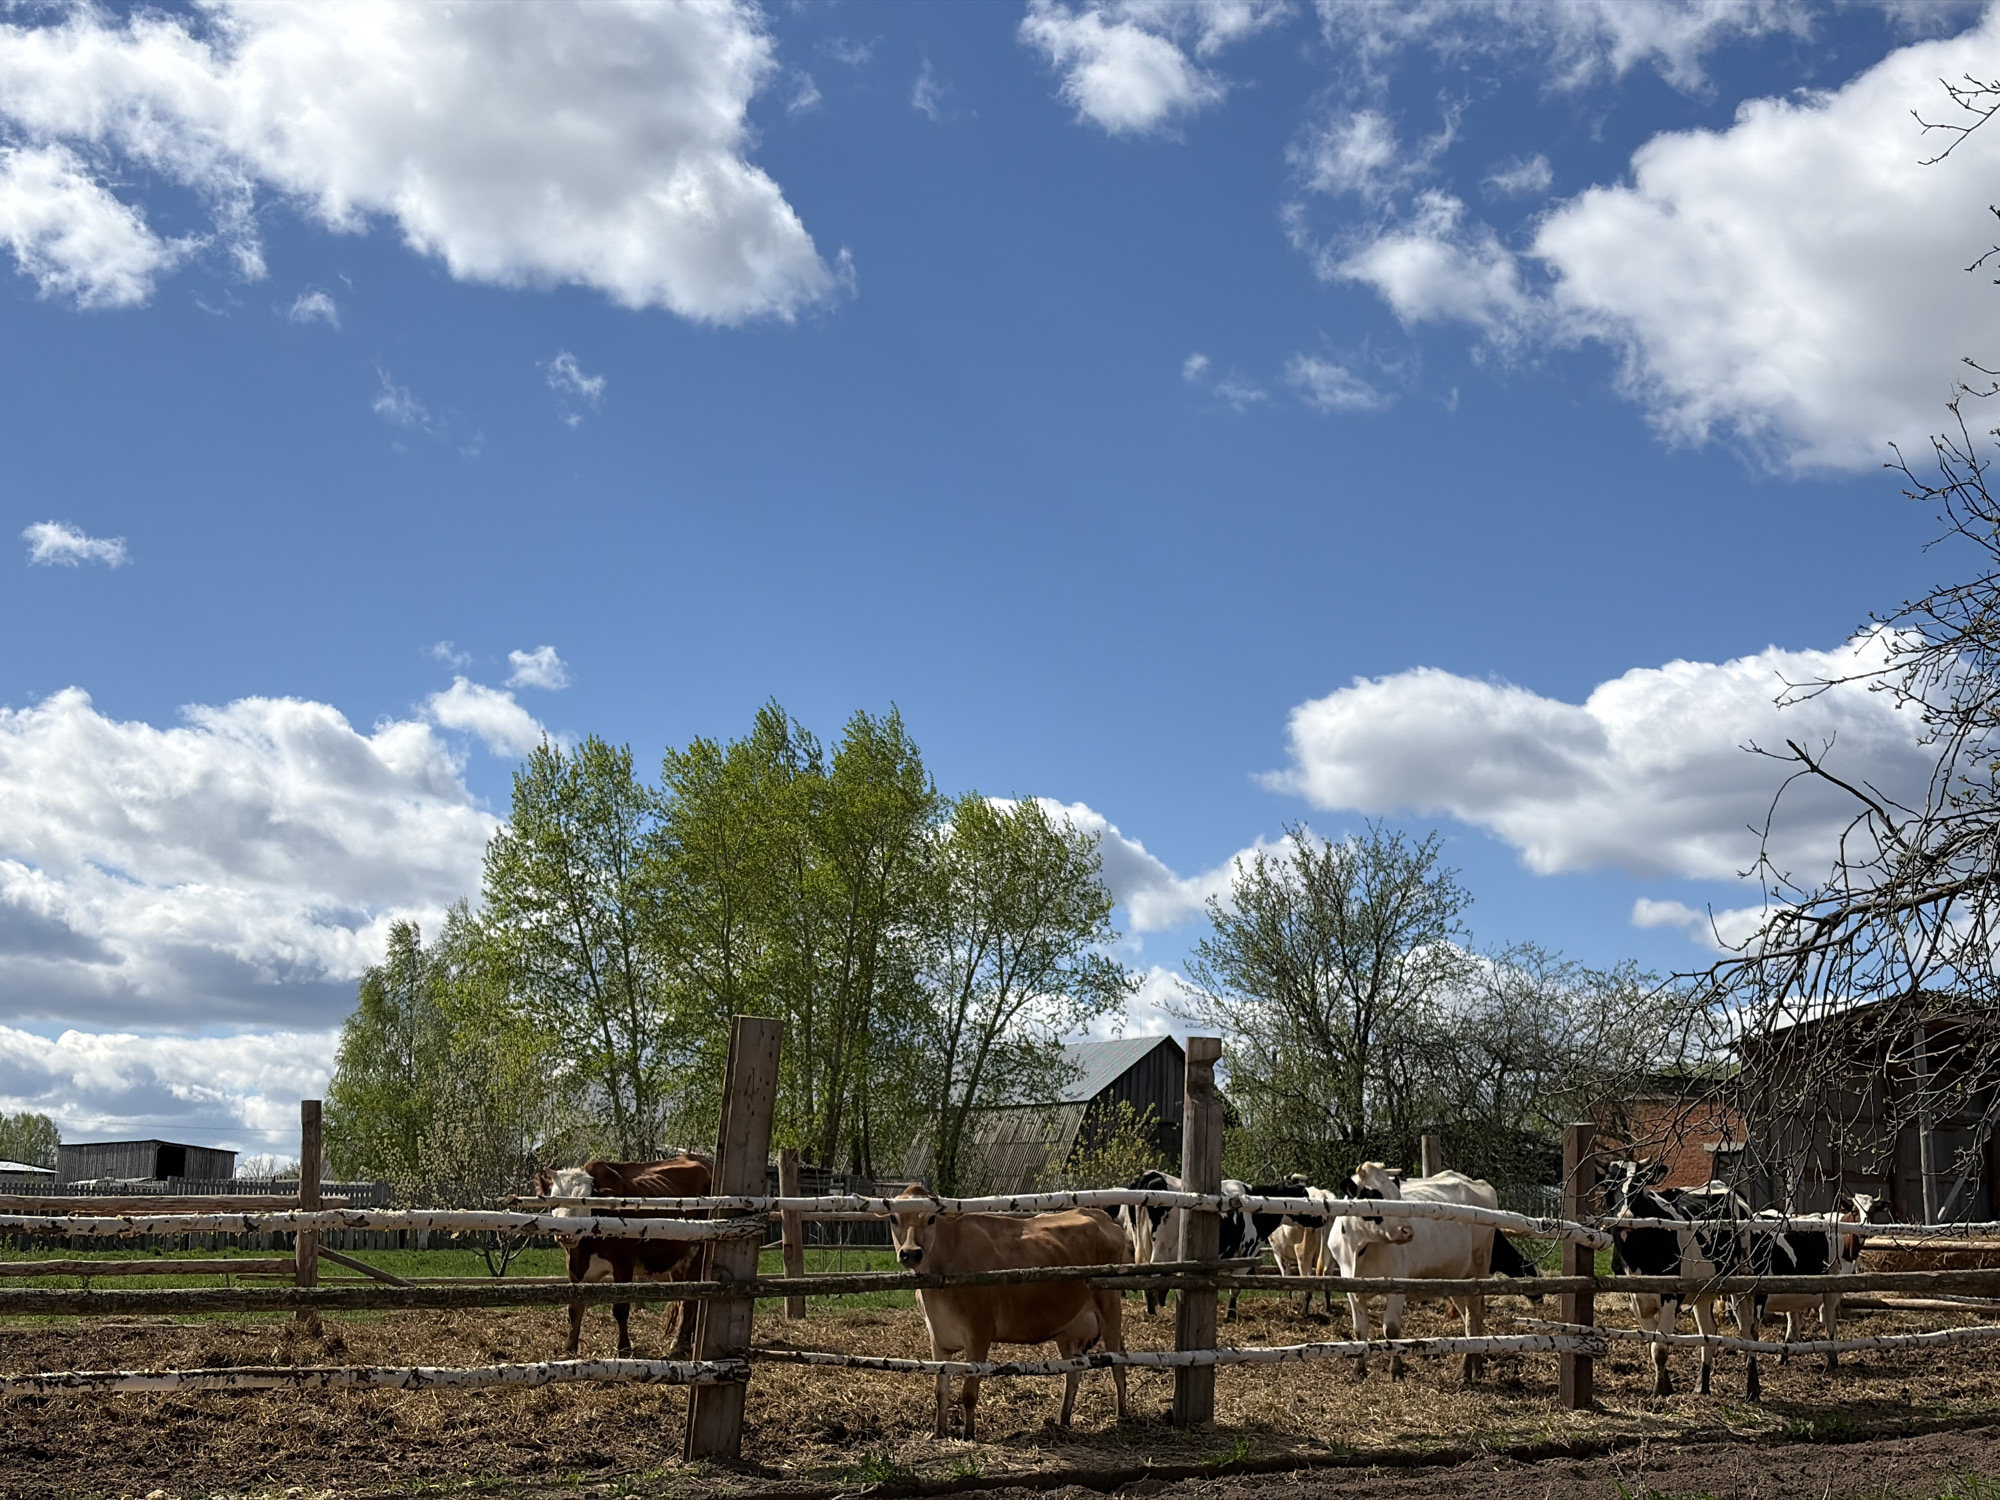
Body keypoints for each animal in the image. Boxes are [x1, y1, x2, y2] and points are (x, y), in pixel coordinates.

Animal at [533, 1155, 712, 1360]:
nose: (565, 1233)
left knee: (689, 1302)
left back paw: (678, 1344)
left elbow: (620, 1308)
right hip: (677, 1263)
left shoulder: (623, 1264)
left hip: (697, 1256)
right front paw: (569, 1348)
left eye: (585, 1200)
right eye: (554, 1201)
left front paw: (624, 1348)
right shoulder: (575, 1265)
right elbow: (575, 1307)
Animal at [889, 1185, 1130, 1439]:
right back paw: (1062, 1420)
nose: (911, 1253)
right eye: (894, 1218)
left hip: (1110, 1304)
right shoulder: (937, 1337)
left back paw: (1122, 1417)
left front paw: (968, 1436)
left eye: (931, 1218)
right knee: (1073, 1371)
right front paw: (938, 1433)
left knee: (1118, 1363)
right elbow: (940, 1390)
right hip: (1069, 1329)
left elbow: (969, 1393)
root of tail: (1099, 1215)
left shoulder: (980, 1333)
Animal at [1330, 1162, 1499, 1383]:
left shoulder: (1397, 1286)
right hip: (1456, 1282)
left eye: (1398, 1197)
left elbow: (1391, 1330)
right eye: (1375, 1195)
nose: (1408, 1231)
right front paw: (1358, 1370)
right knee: (1474, 1320)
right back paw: (1476, 1368)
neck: (1360, 1248)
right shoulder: (1351, 1288)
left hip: (1477, 1273)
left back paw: (1464, 1371)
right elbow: (1359, 1330)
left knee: (1471, 1321)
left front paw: (1396, 1371)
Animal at [1600, 1159, 1762, 1400]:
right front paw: (1666, 1386)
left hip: (1743, 1280)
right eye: (1608, 1187)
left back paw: (1752, 1389)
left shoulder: (1670, 1295)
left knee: (1747, 1331)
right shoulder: (1635, 1298)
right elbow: (1653, 1342)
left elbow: (1660, 1348)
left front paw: (1659, 1391)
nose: (1626, 1218)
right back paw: (1702, 1385)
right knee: (1708, 1332)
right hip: (1703, 1290)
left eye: (1639, 1184)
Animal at [1753, 1191, 1890, 1368]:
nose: (1863, 1228)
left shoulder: (1793, 1293)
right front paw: (1833, 1359)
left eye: (1872, 1211)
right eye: (1854, 1210)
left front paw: (1783, 1358)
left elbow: (1792, 1329)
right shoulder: (1831, 1290)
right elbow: (1830, 1326)